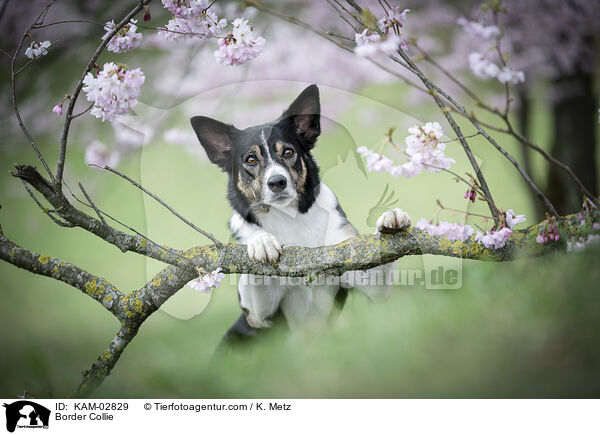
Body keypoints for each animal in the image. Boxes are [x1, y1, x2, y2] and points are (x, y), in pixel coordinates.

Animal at [190, 85, 410, 344]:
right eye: (251, 159)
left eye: (288, 152)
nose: (277, 182)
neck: (290, 218)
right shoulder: (258, 316)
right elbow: (254, 274)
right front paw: (261, 241)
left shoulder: (365, 280)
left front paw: (390, 220)